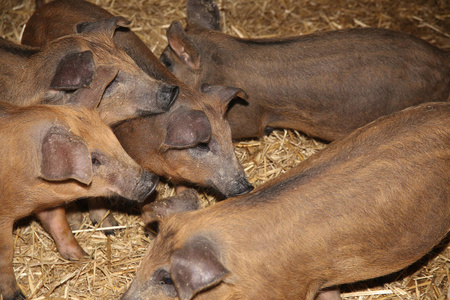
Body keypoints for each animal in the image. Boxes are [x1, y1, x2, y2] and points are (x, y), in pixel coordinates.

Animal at [0, 101, 159, 300]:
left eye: (115, 142)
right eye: (94, 160)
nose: (153, 181)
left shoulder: (48, 201)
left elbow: (60, 227)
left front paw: (85, 257)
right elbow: (6, 252)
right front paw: (17, 296)